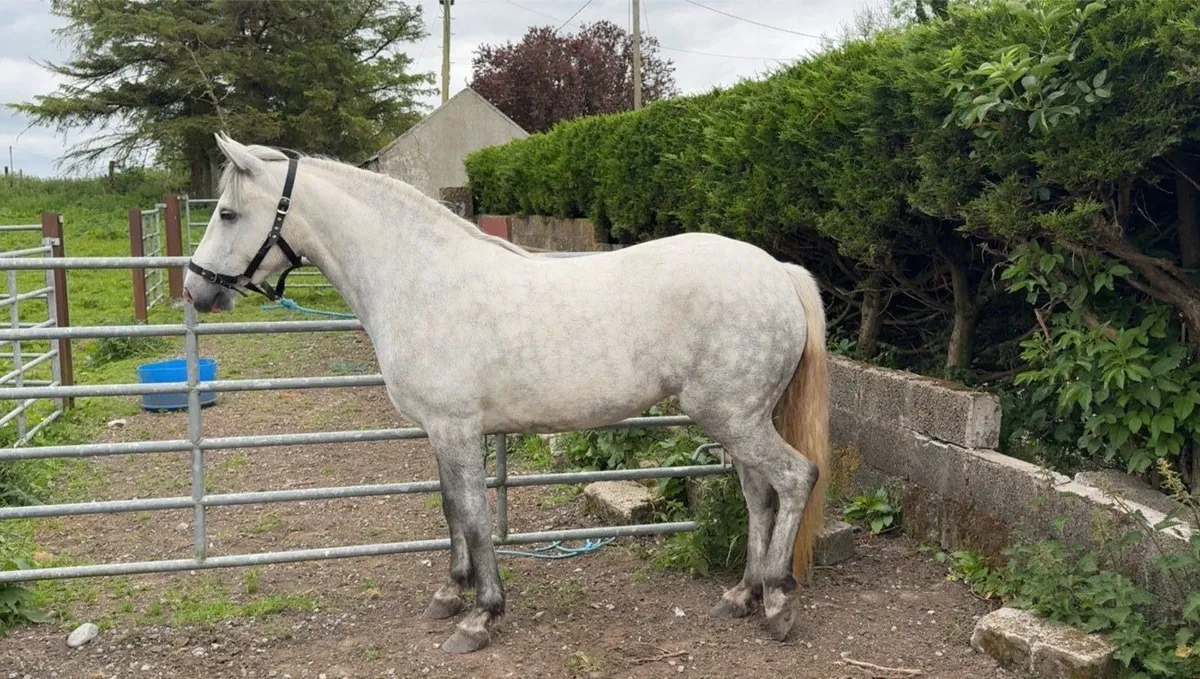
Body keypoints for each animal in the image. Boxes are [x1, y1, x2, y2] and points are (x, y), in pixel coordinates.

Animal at [183, 133, 830, 654]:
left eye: (229, 213)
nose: (195, 289)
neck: (422, 279)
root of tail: (777, 271)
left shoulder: (456, 428)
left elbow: (473, 515)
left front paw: (480, 617)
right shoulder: (441, 432)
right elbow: (450, 509)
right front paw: (451, 594)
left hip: (732, 417)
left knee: (795, 478)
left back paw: (777, 600)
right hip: (739, 419)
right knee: (759, 497)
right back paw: (741, 594)